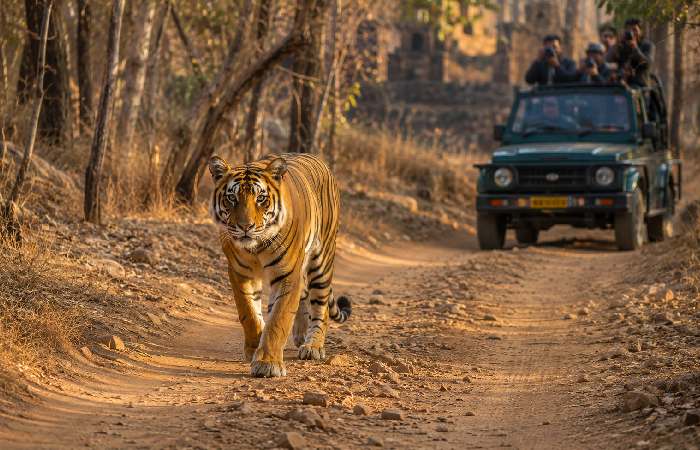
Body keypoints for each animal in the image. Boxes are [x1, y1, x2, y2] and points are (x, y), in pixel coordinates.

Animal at [208, 153, 351, 378]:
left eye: (260, 198)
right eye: (232, 198)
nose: (245, 226)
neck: (256, 248)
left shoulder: (288, 274)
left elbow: (278, 319)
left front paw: (268, 363)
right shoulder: (240, 273)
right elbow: (249, 313)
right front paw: (254, 347)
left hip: (322, 260)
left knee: (321, 306)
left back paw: (313, 347)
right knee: (303, 295)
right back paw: (300, 334)